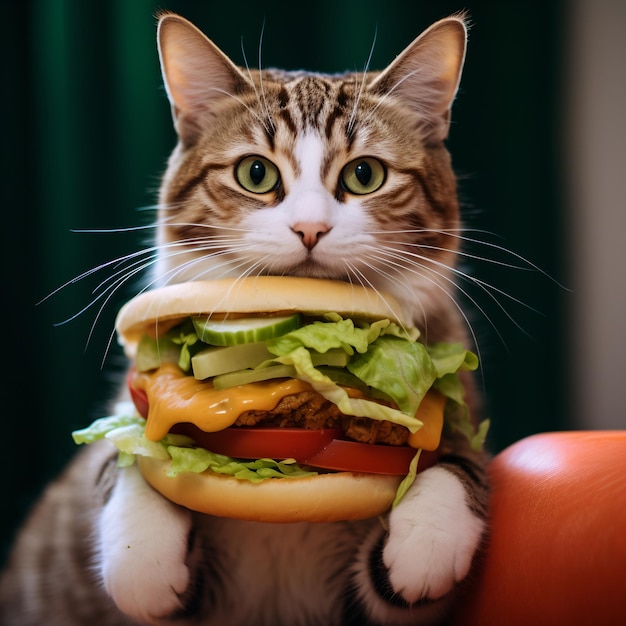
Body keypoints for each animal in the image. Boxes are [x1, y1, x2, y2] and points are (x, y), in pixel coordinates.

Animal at [0, 11, 488, 624]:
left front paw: (427, 542)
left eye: (365, 175)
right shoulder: (131, 416)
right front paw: (142, 558)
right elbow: (127, 456)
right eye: (256, 173)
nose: (310, 228)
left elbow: (458, 461)